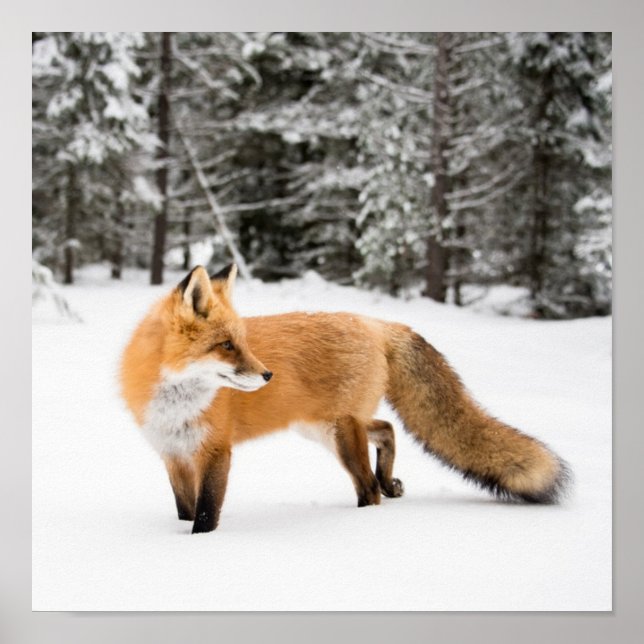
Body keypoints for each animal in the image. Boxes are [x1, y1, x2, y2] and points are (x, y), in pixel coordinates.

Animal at [120, 264, 571, 534]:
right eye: (227, 345)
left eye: (242, 343)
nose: (267, 375)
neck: (176, 403)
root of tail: (375, 323)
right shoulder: (173, 454)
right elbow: (184, 508)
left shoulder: (215, 452)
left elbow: (206, 513)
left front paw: (199, 546)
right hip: (324, 427)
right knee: (387, 429)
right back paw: (390, 482)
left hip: (339, 433)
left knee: (368, 487)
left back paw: (361, 517)